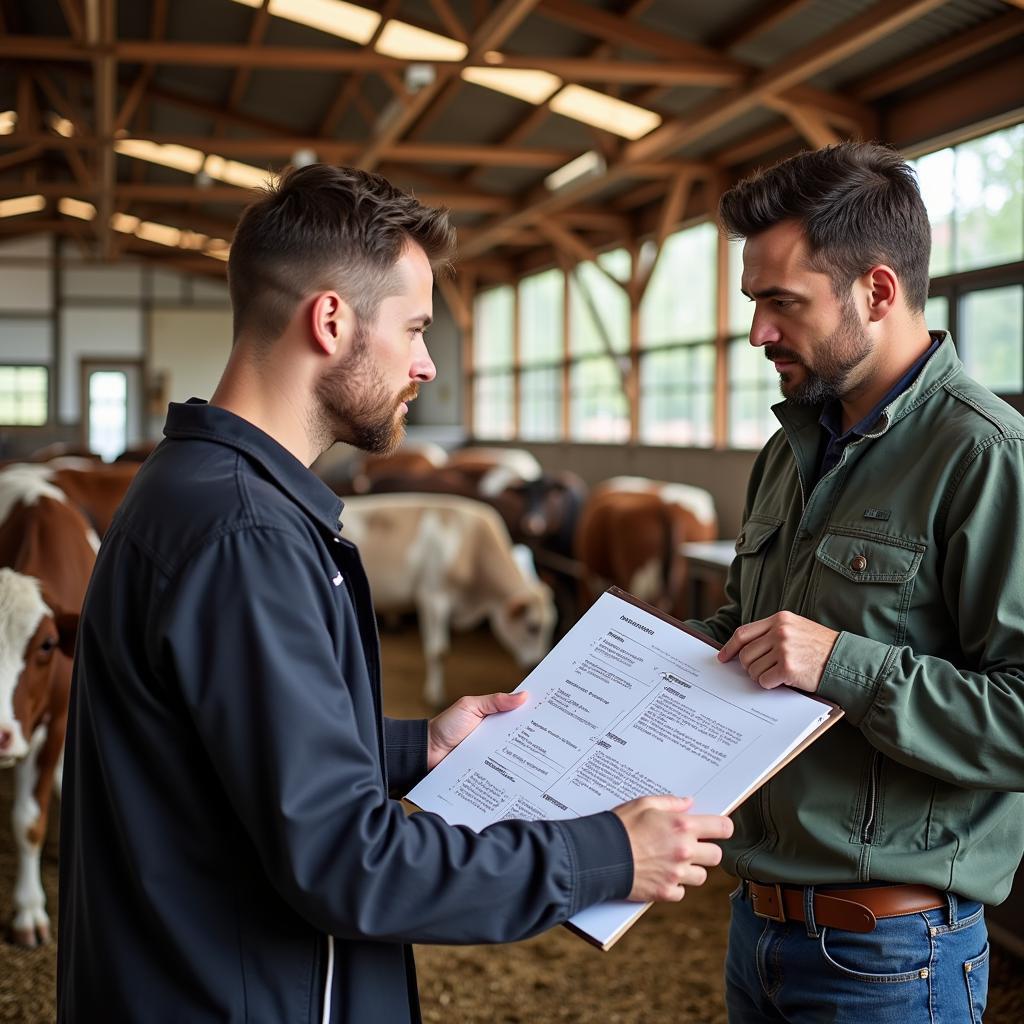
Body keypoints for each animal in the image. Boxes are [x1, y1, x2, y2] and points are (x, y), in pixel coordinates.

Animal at [339, 493, 557, 704]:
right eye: (532, 627)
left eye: (552, 626)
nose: (535, 663)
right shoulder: (432, 598)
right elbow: (438, 651)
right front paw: (434, 695)